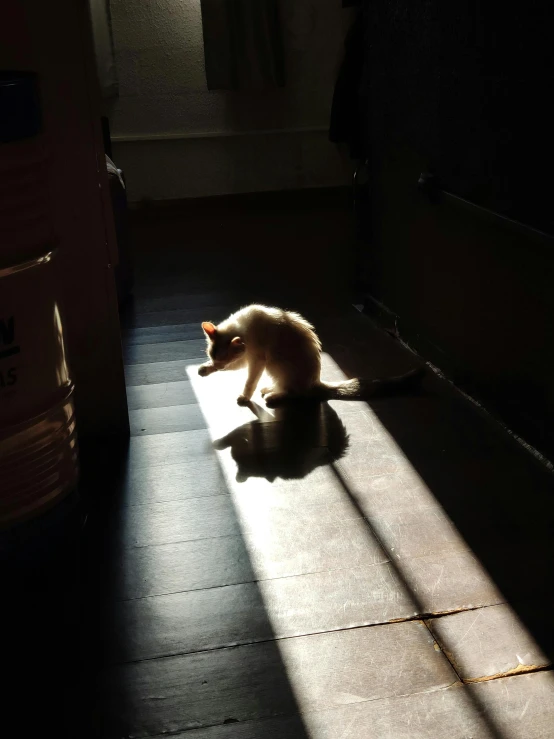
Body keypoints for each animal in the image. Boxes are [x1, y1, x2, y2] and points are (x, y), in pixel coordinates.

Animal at [196, 306, 420, 410]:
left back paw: (273, 396)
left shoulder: (257, 359)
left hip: (275, 363)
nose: (218, 366)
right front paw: (205, 369)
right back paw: (270, 389)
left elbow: (249, 382)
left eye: (223, 360)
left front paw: (244, 397)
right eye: (215, 359)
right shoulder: (246, 358)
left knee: (295, 393)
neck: (244, 326)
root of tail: (316, 381)